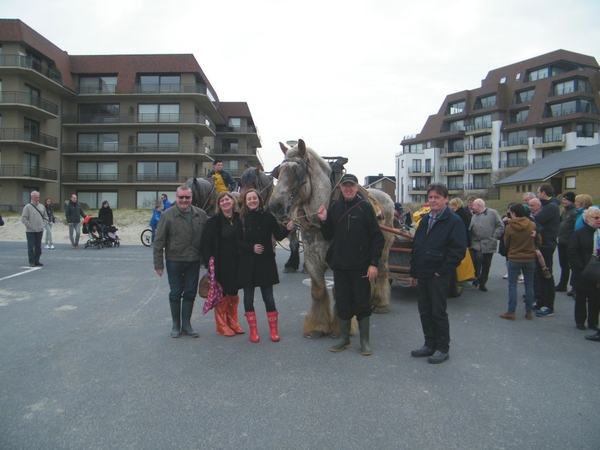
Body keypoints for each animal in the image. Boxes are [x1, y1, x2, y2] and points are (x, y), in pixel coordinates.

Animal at [270, 140, 396, 338]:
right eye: (278, 172)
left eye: (296, 171)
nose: (275, 206)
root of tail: (386, 197)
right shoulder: (312, 259)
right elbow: (319, 291)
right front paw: (318, 326)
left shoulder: (341, 262)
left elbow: (339, 292)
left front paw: (340, 328)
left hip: (383, 248)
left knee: (382, 269)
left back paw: (381, 303)